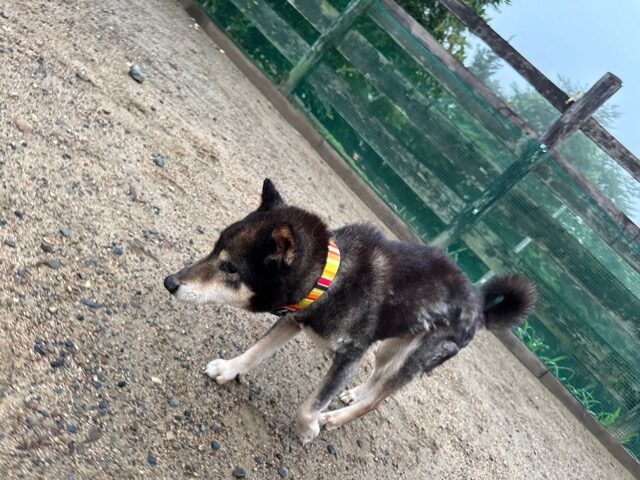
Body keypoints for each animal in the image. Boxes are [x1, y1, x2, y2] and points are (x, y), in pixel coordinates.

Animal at [164, 178, 537, 443]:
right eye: (215, 250)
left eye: (231, 269)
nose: (169, 281)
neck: (329, 280)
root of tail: (480, 301)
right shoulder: (294, 319)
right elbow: (256, 351)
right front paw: (229, 368)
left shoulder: (349, 354)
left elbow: (310, 404)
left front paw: (309, 428)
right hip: (391, 345)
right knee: (376, 379)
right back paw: (355, 392)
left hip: (414, 358)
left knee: (377, 400)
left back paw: (335, 418)